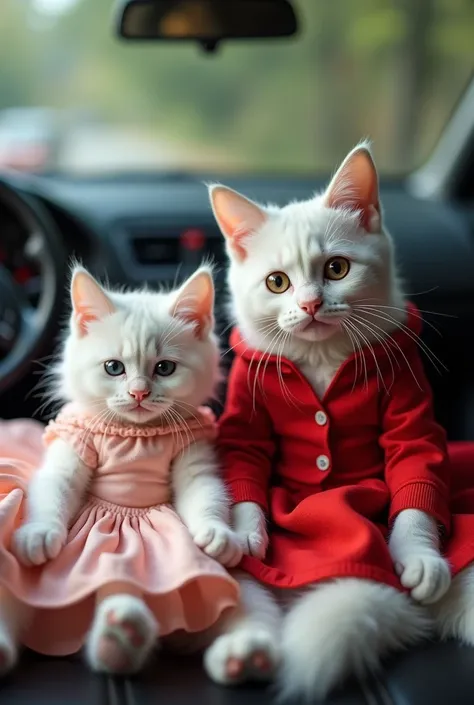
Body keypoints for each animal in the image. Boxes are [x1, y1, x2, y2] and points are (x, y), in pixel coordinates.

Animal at [0, 264, 241, 672]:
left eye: (165, 368)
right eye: (114, 368)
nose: (139, 392)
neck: (136, 434)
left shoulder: (194, 448)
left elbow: (204, 491)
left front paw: (217, 533)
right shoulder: (74, 442)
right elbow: (53, 488)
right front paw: (37, 534)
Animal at [202, 143, 450, 700]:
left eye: (337, 268)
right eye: (276, 282)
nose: (310, 303)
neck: (320, 357)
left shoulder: (408, 393)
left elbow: (414, 461)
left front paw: (420, 554)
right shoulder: (247, 404)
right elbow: (245, 458)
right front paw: (248, 530)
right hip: (248, 588)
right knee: (245, 598)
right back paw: (245, 652)